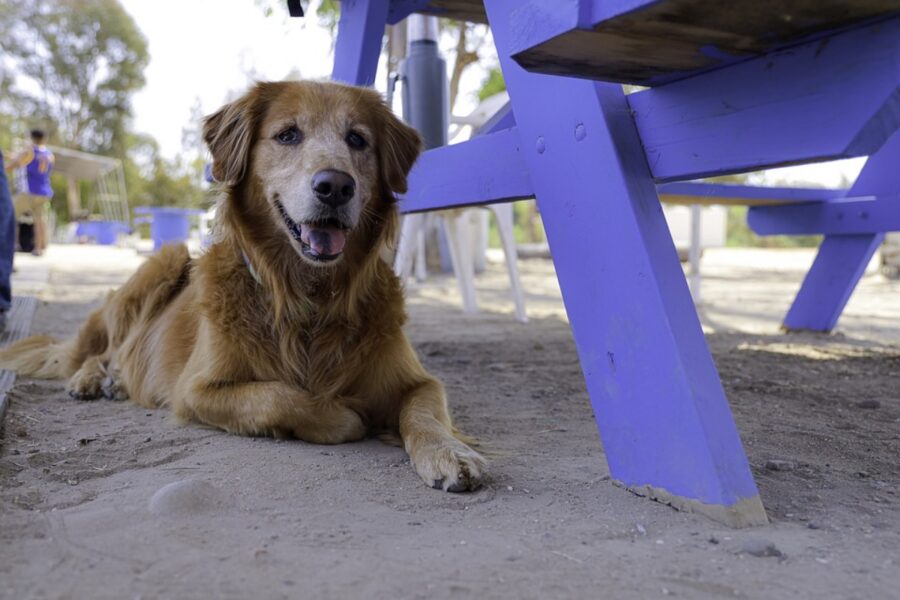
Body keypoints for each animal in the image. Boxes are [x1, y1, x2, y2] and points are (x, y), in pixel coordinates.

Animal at [0, 79, 486, 492]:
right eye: (288, 135)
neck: (308, 298)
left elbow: (425, 412)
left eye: (357, 140)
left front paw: (449, 453)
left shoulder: (419, 381)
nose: (335, 186)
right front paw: (346, 416)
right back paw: (91, 380)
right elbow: (283, 397)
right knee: (102, 351)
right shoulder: (196, 390)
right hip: (164, 259)